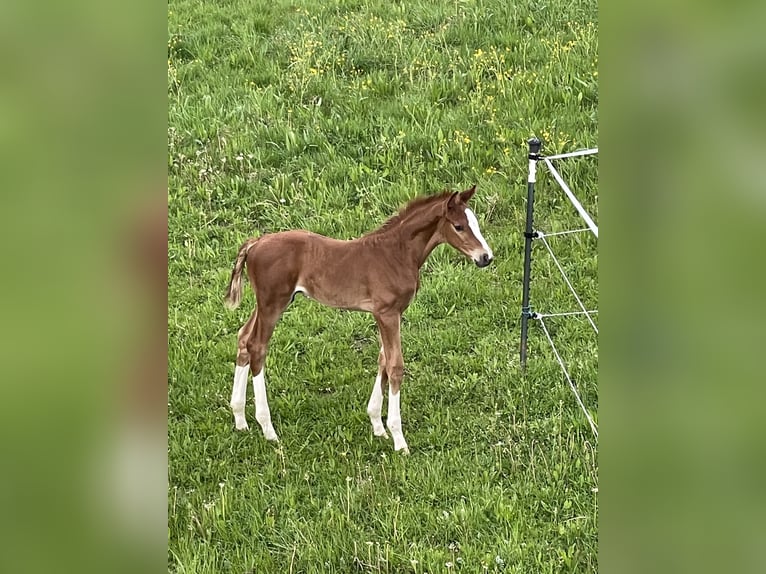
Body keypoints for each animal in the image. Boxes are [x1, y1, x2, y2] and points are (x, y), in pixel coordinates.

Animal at [225, 187, 496, 452]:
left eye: (475, 222)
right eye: (459, 226)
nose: (486, 257)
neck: (396, 253)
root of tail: (255, 243)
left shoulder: (391, 313)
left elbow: (383, 360)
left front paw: (378, 426)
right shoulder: (387, 313)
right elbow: (395, 366)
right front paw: (399, 439)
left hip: (268, 303)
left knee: (243, 337)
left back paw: (240, 419)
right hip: (273, 303)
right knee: (257, 347)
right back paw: (268, 429)